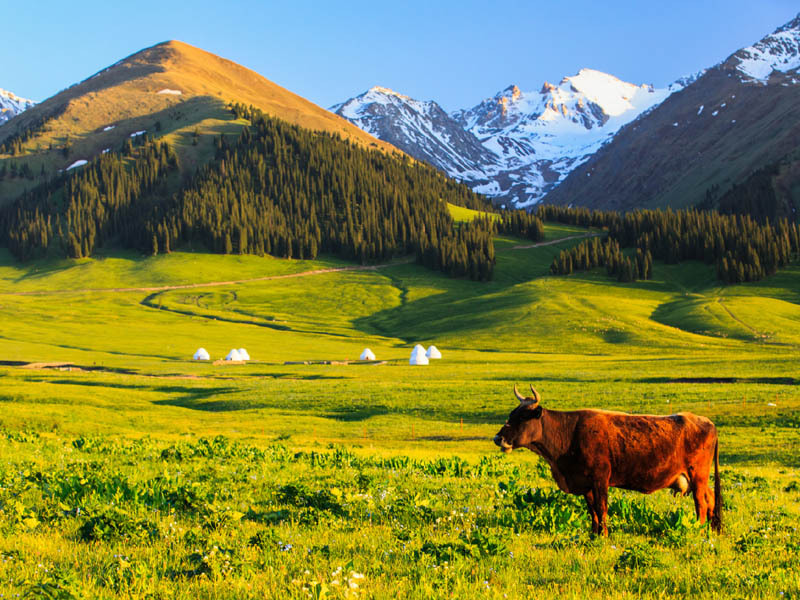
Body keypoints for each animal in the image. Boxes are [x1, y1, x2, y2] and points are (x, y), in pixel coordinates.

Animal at [490, 386, 720, 536]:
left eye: (522, 417)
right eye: (511, 414)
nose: (498, 438)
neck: (570, 432)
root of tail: (706, 422)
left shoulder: (600, 480)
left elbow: (602, 509)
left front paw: (605, 535)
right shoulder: (585, 484)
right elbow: (592, 511)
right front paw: (595, 534)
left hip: (697, 475)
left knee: (701, 502)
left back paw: (699, 530)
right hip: (696, 479)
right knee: (710, 499)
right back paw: (712, 530)